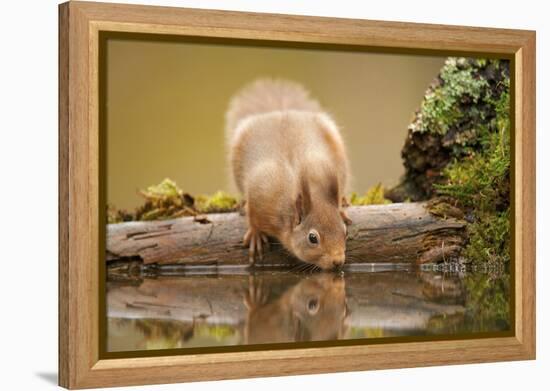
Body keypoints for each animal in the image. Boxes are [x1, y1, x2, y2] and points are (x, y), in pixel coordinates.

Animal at [225, 78, 352, 272]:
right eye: (312, 238)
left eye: (345, 231)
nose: (338, 261)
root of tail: (280, 112)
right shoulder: (261, 193)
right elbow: (253, 215)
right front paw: (255, 233)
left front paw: (340, 207)